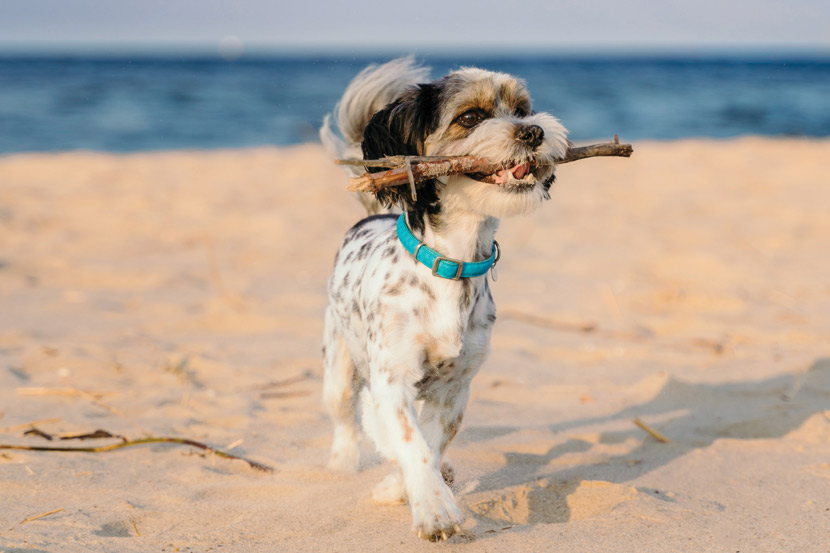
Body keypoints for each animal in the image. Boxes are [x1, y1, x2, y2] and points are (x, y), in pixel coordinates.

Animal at [320, 56, 572, 540]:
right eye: (470, 118)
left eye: (522, 110)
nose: (532, 131)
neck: (452, 264)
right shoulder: (392, 378)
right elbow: (409, 441)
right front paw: (434, 509)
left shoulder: (457, 386)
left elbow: (433, 441)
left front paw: (406, 487)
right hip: (339, 365)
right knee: (346, 416)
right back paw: (341, 463)